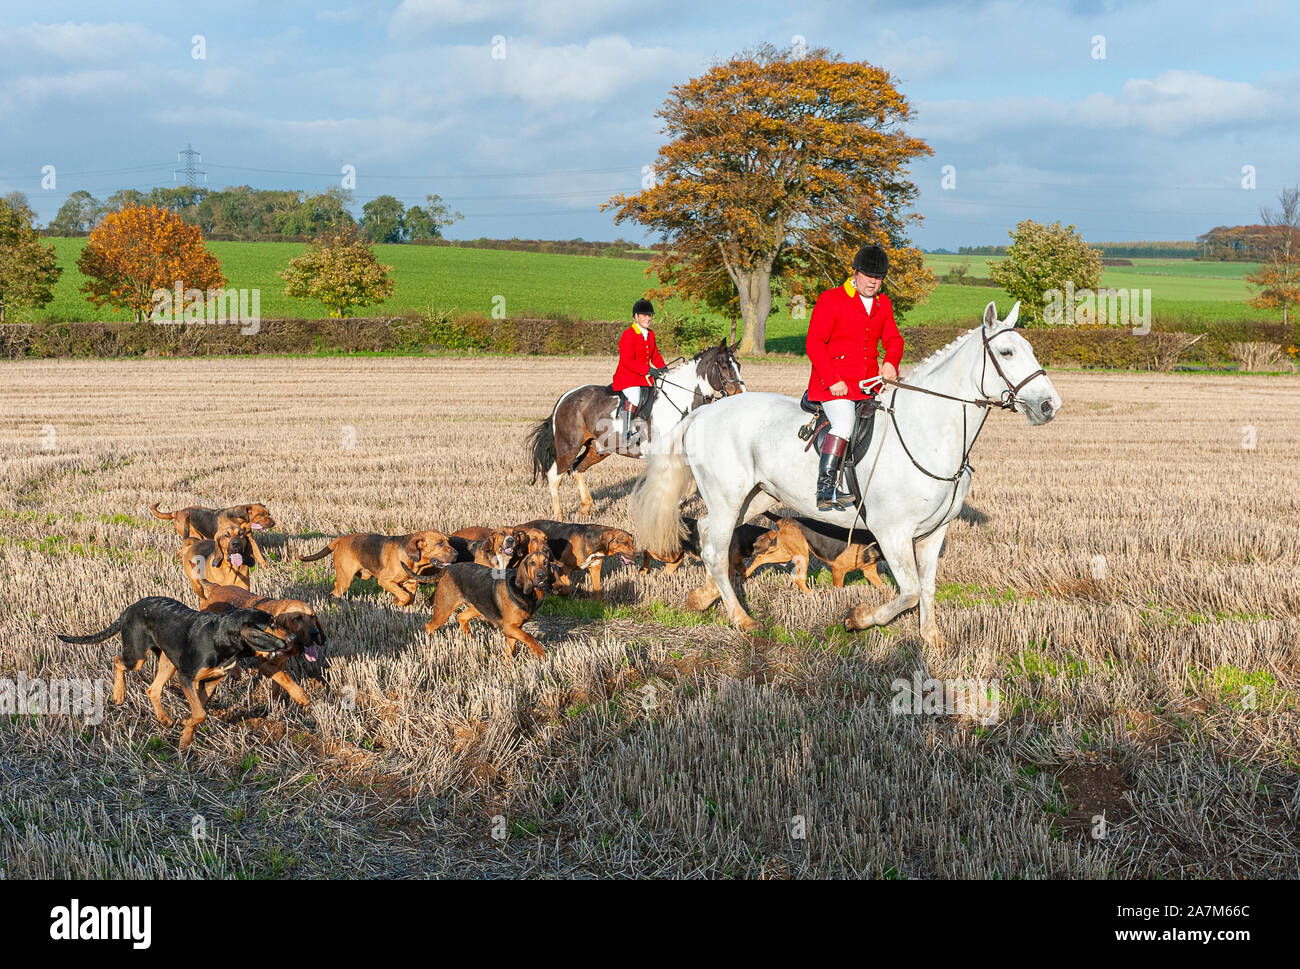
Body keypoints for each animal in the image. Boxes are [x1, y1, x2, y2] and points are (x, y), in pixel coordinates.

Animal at [525, 343, 743, 522]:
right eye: (723, 366)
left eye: (739, 366)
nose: (740, 394)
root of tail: (566, 397)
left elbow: (690, 488)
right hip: (569, 446)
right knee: (555, 476)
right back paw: (559, 516)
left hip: (599, 448)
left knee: (577, 469)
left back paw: (585, 509)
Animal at [631, 299, 1066, 639]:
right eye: (1006, 353)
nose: (1049, 406)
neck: (929, 430)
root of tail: (704, 413)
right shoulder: (892, 532)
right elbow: (908, 592)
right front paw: (858, 619)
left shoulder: (934, 533)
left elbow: (927, 589)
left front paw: (932, 642)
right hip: (727, 497)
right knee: (716, 548)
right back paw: (742, 619)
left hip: (755, 497)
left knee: (709, 538)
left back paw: (702, 598)